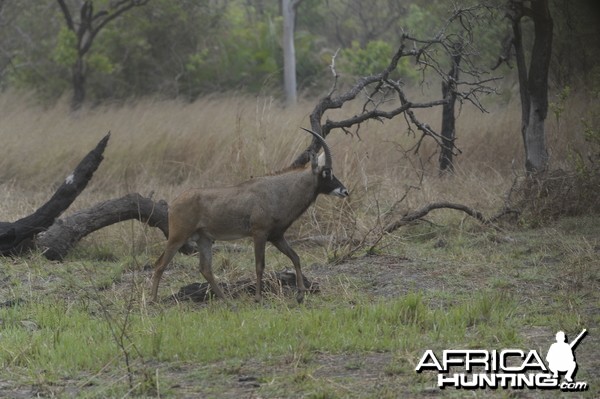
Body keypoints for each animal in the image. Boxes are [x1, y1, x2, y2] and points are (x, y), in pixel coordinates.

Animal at [149, 128, 352, 304]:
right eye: (327, 172)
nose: (345, 191)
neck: (277, 191)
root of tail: (174, 202)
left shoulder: (276, 236)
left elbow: (295, 257)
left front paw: (301, 294)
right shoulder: (259, 234)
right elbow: (259, 266)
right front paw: (258, 298)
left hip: (204, 239)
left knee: (205, 268)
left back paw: (227, 301)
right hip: (178, 237)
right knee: (160, 264)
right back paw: (153, 300)